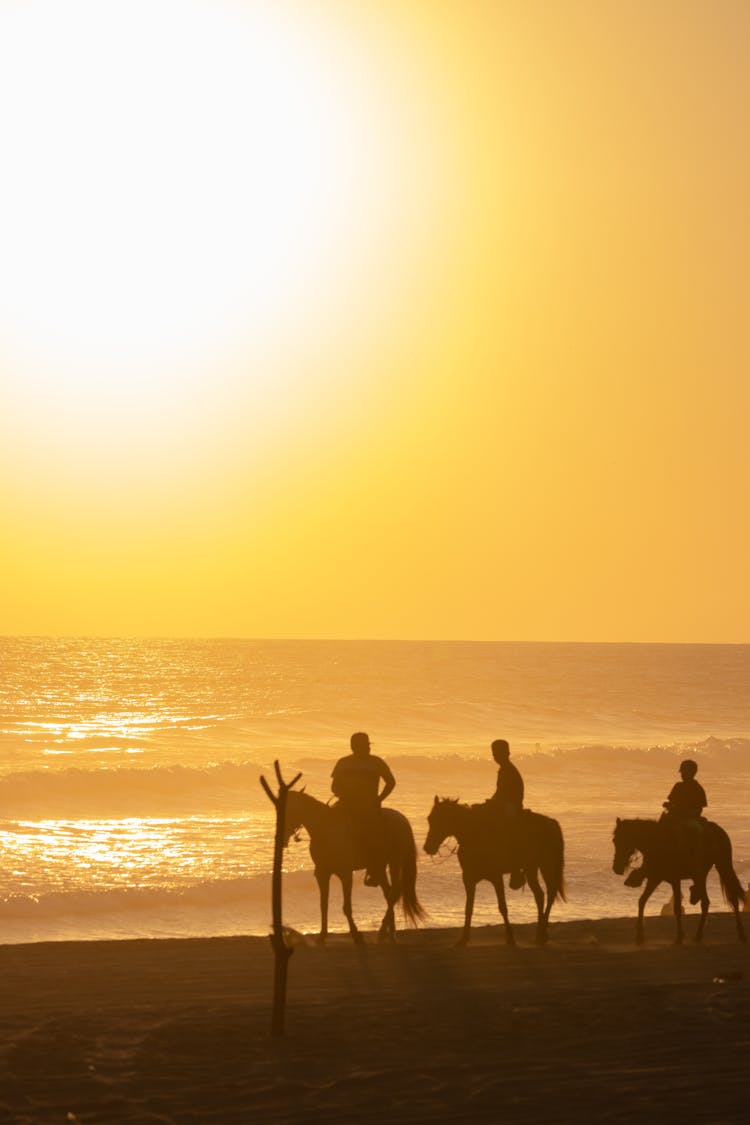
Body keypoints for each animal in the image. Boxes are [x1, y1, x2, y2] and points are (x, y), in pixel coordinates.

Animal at [283, 792, 425, 940]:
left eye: (289, 809)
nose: (283, 836)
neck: (326, 828)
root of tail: (402, 819)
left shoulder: (345, 873)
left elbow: (347, 906)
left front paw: (356, 934)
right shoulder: (322, 873)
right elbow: (323, 904)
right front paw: (322, 935)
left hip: (395, 860)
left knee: (394, 893)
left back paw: (384, 931)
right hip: (380, 866)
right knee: (389, 893)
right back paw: (389, 931)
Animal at [425, 796, 566, 945]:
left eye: (442, 819)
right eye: (430, 819)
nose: (428, 847)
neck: (474, 835)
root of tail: (551, 823)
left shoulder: (496, 876)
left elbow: (502, 907)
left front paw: (510, 937)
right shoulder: (468, 878)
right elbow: (468, 907)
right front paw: (464, 938)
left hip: (546, 865)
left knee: (550, 894)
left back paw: (543, 934)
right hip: (531, 868)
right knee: (540, 895)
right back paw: (540, 935)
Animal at [611, 814, 746, 945]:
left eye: (624, 840)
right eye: (614, 841)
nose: (617, 868)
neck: (658, 843)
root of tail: (718, 830)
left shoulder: (675, 880)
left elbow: (676, 908)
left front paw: (679, 937)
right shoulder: (655, 878)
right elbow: (642, 901)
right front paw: (639, 936)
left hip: (723, 866)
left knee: (733, 898)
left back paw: (740, 932)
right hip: (700, 875)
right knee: (705, 902)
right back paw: (698, 935)